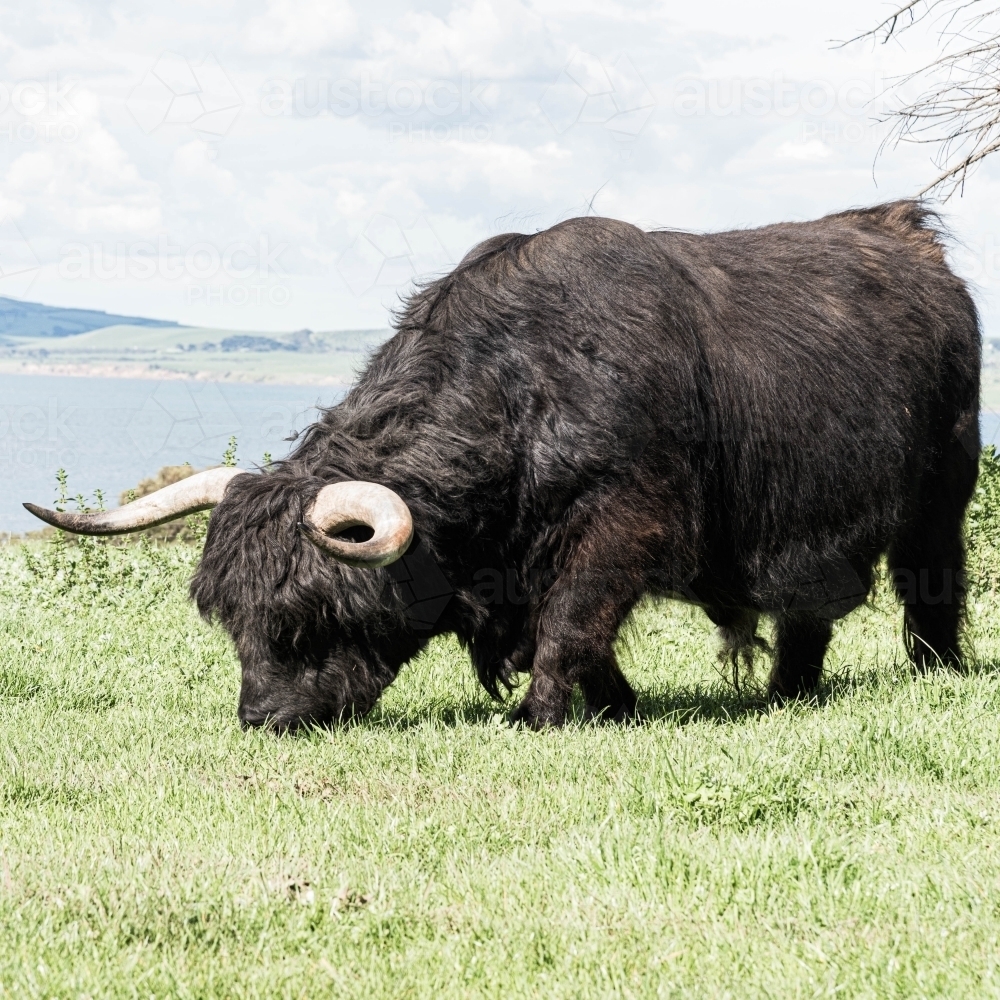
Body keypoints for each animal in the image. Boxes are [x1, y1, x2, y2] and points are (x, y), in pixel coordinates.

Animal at [25, 201, 981, 732]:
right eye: (232, 618)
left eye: (310, 613)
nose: (261, 718)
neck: (526, 390)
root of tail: (908, 235)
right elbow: (583, 640)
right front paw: (618, 706)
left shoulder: (623, 523)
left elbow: (573, 623)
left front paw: (541, 716)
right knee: (805, 618)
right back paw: (787, 692)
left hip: (942, 492)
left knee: (930, 586)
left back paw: (938, 673)